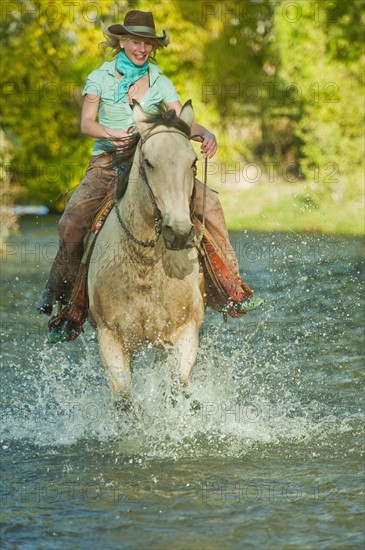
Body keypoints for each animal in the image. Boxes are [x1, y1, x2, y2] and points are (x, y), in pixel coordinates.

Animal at [87, 100, 203, 402]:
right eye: (149, 163)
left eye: (193, 162)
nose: (179, 232)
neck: (145, 264)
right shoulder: (110, 339)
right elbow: (126, 400)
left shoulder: (185, 333)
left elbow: (178, 390)